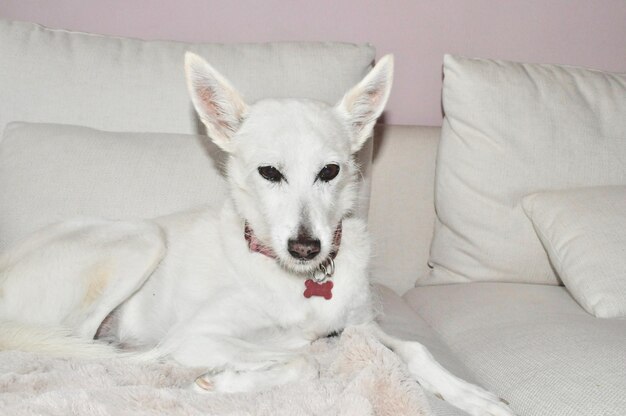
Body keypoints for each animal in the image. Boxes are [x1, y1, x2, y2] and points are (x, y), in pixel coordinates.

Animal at [0, 52, 512, 416]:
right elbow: (303, 359)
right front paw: (227, 381)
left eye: (330, 171)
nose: (306, 247)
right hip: (141, 239)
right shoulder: (199, 336)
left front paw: (469, 393)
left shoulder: (362, 323)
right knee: (85, 345)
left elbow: (414, 347)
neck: (297, 282)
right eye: (269, 172)